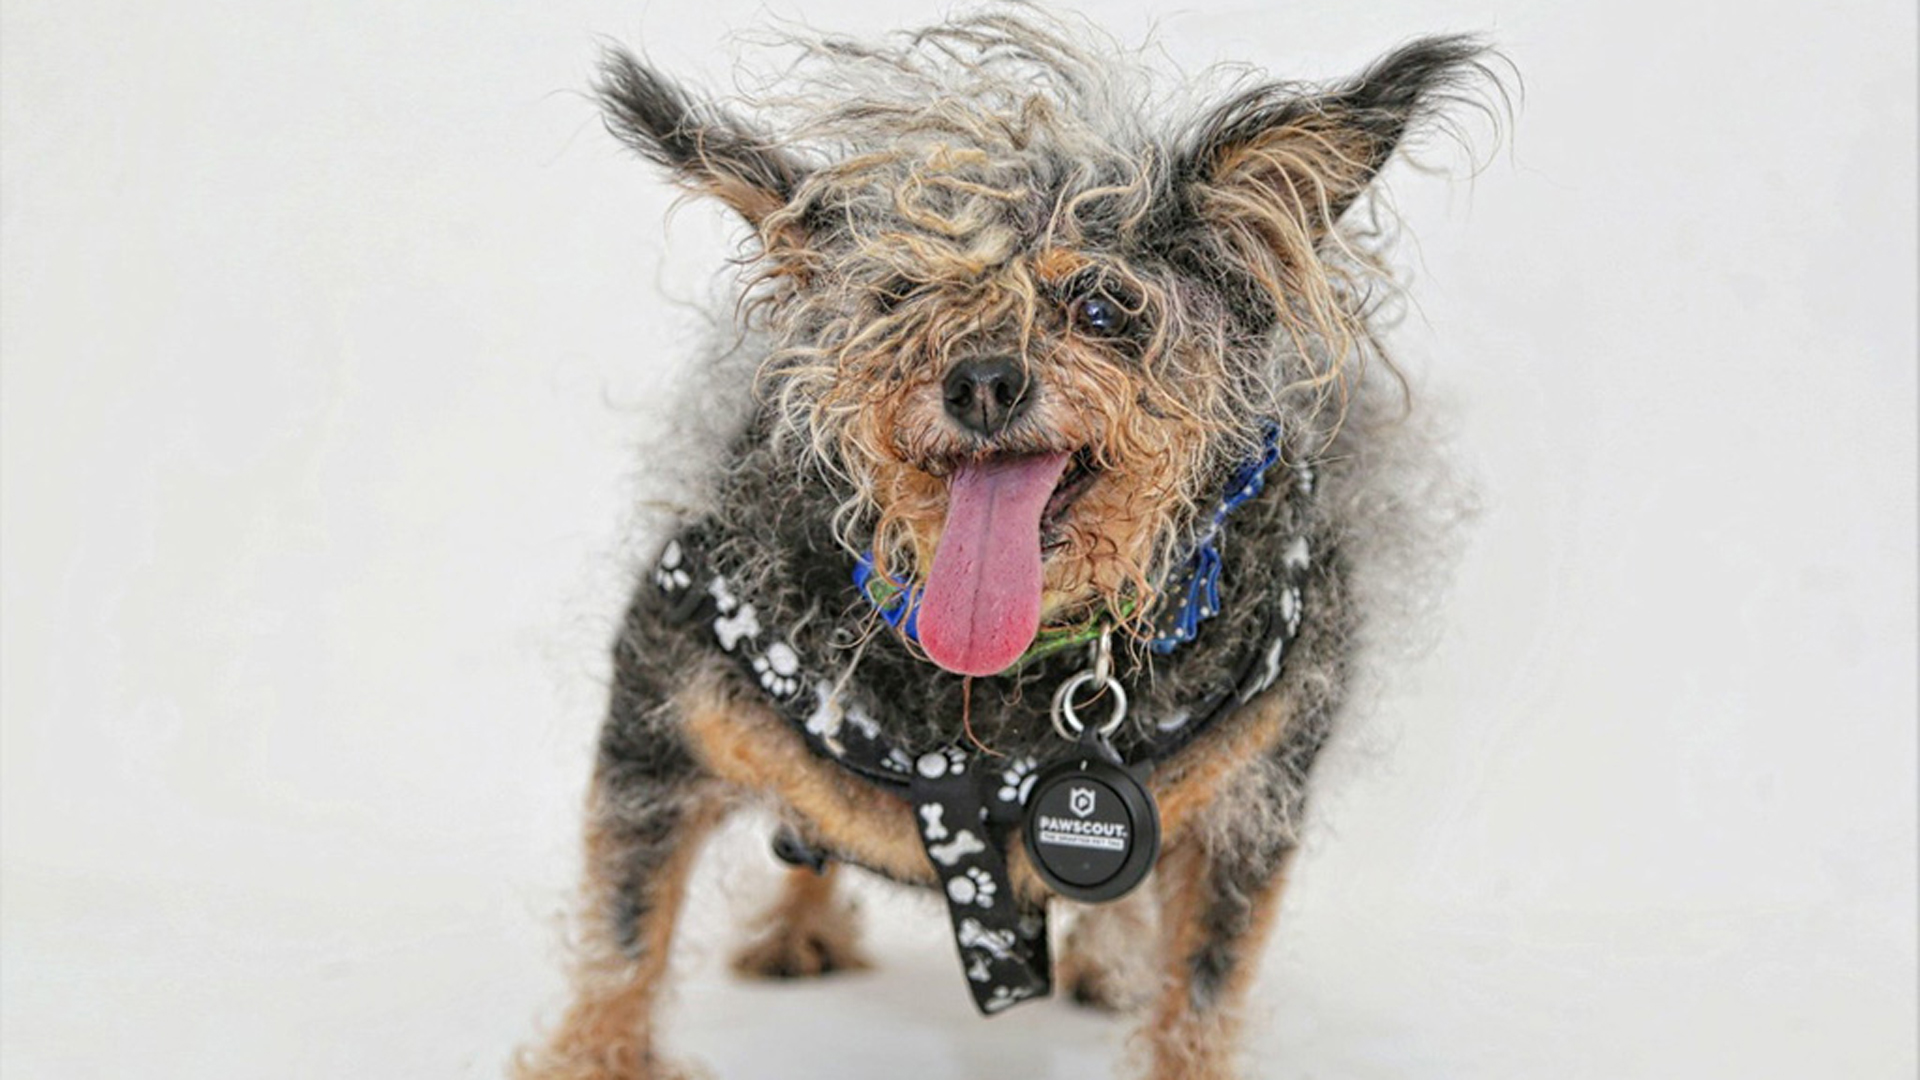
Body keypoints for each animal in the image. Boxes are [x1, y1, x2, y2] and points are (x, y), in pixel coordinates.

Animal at [522, 10, 1497, 1076]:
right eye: (899, 295)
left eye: (1104, 304)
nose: (982, 379)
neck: (1001, 686)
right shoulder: (659, 715)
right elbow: (622, 942)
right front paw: (594, 1053)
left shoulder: (1251, 797)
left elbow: (1199, 991)